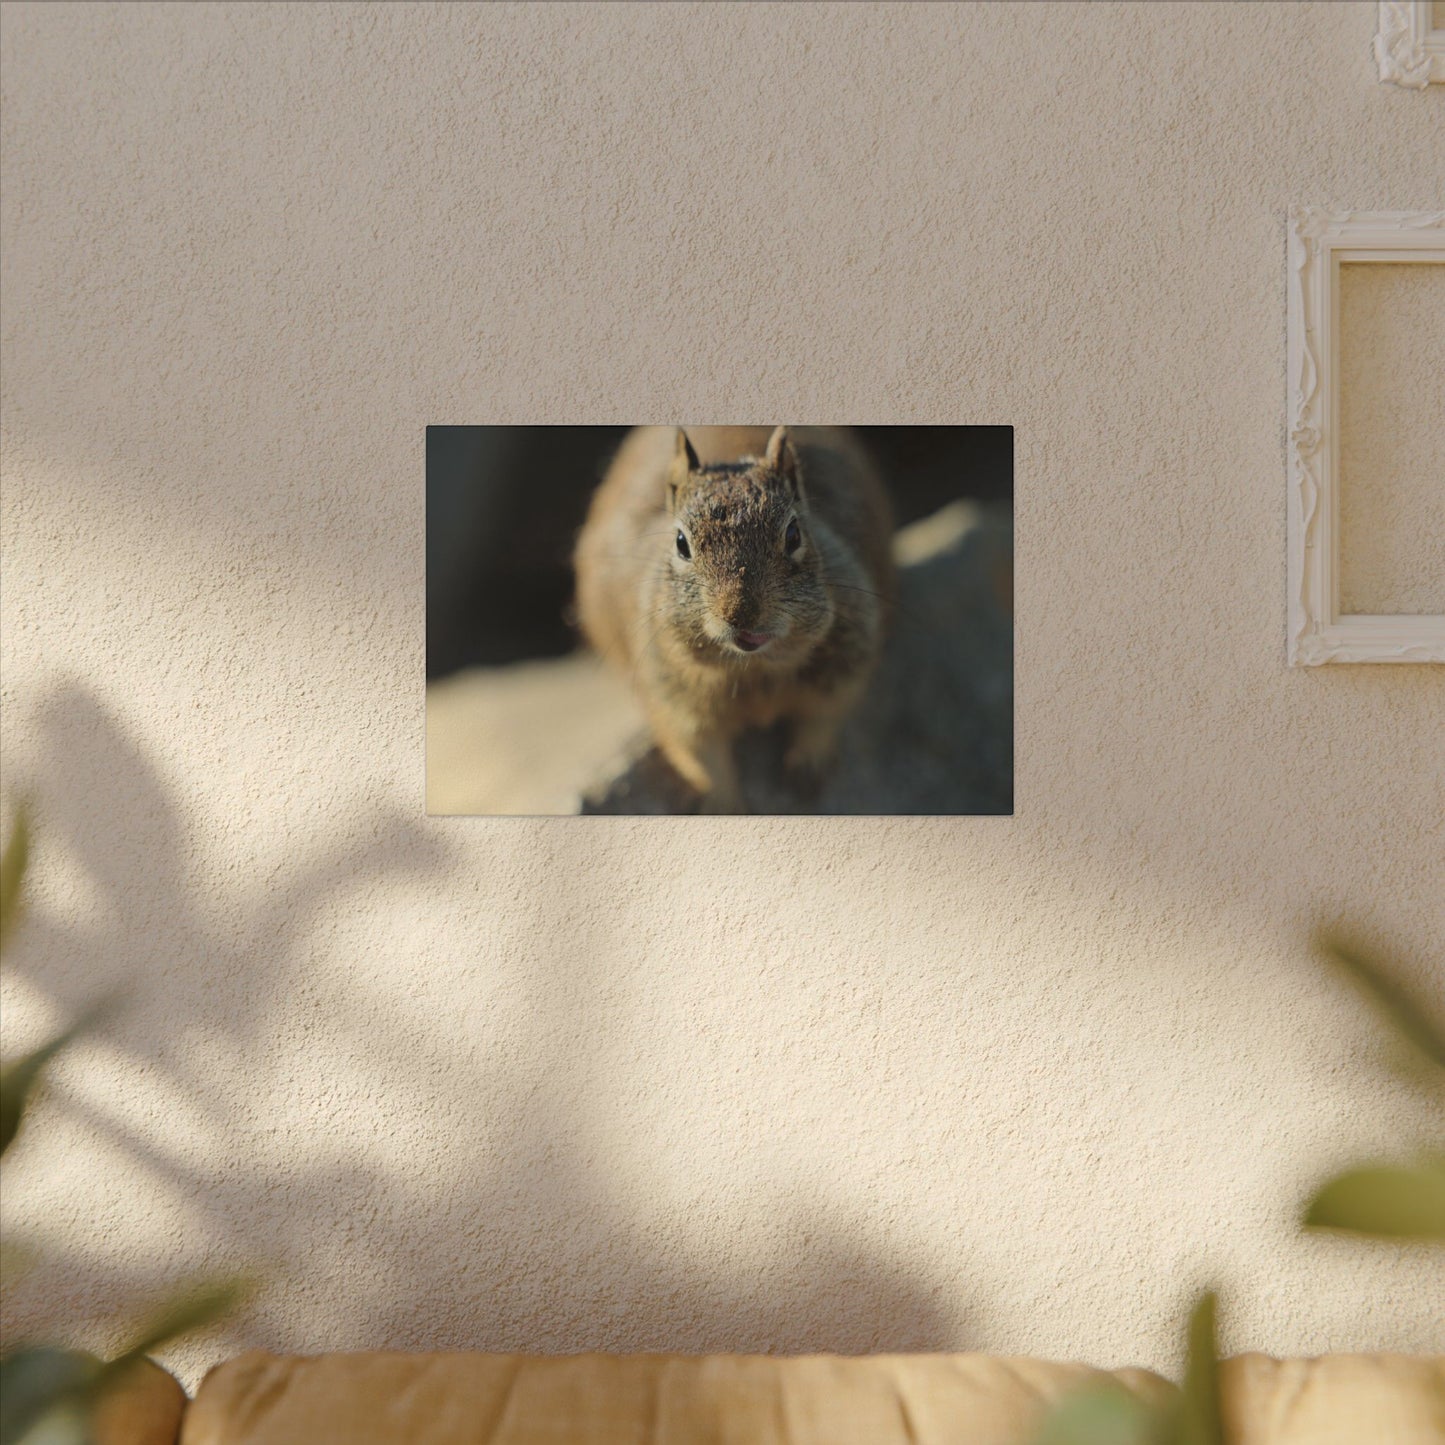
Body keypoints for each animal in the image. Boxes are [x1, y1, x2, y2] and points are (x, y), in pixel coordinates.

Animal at [574, 425, 895, 813]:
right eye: (680, 542)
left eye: (794, 533)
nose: (740, 613)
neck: (754, 670)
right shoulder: (673, 702)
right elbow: (701, 758)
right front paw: (725, 807)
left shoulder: (847, 662)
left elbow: (824, 716)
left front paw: (807, 766)